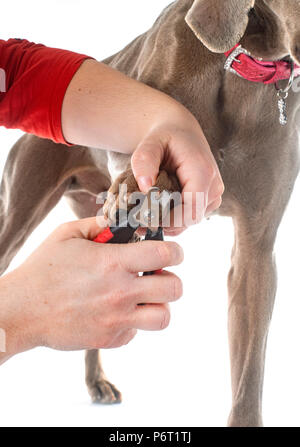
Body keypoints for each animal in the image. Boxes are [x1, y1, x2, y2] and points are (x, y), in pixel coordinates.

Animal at [0, 0, 300, 428]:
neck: (239, 65)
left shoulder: (257, 249)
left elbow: (249, 370)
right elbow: (152, 153)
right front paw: (151, 187)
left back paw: (97, 381)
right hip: (18, 209)